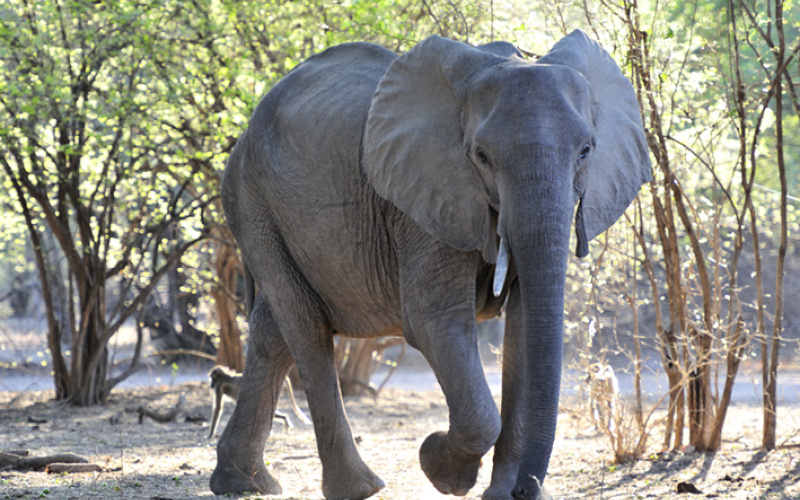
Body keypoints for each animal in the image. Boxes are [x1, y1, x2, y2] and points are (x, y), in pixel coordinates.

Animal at [211, 29, 648, 498]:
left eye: (586, 151)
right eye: (481, 156)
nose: (526, 491)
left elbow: (525, 329)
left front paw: (496, 492)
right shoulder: (421, 198)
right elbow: (435, 321)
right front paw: (441, 468)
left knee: (273, 333)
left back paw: (243, 482)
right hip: (252, 202)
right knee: (306, 327)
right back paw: (360, 487)